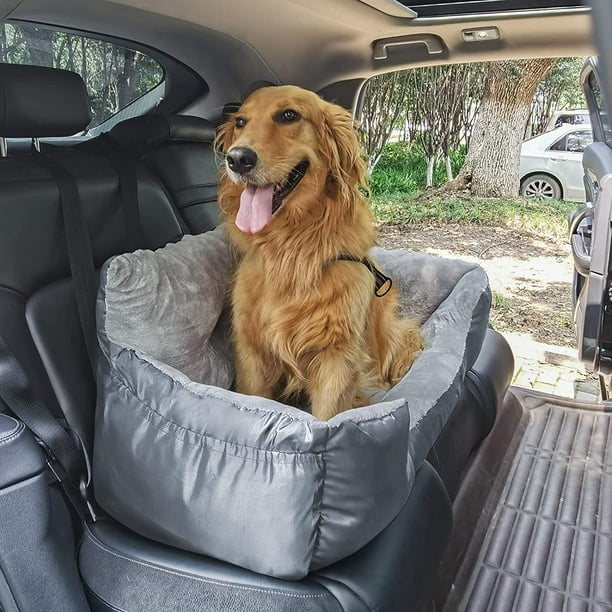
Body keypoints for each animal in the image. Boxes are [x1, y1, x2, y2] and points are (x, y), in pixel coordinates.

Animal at [218, 85, 424, 420]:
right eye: (240, 121)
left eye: (289, 115)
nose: (237, 158)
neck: (291, 247)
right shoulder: (252, 350)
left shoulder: (336, 358)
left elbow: (328, 415)